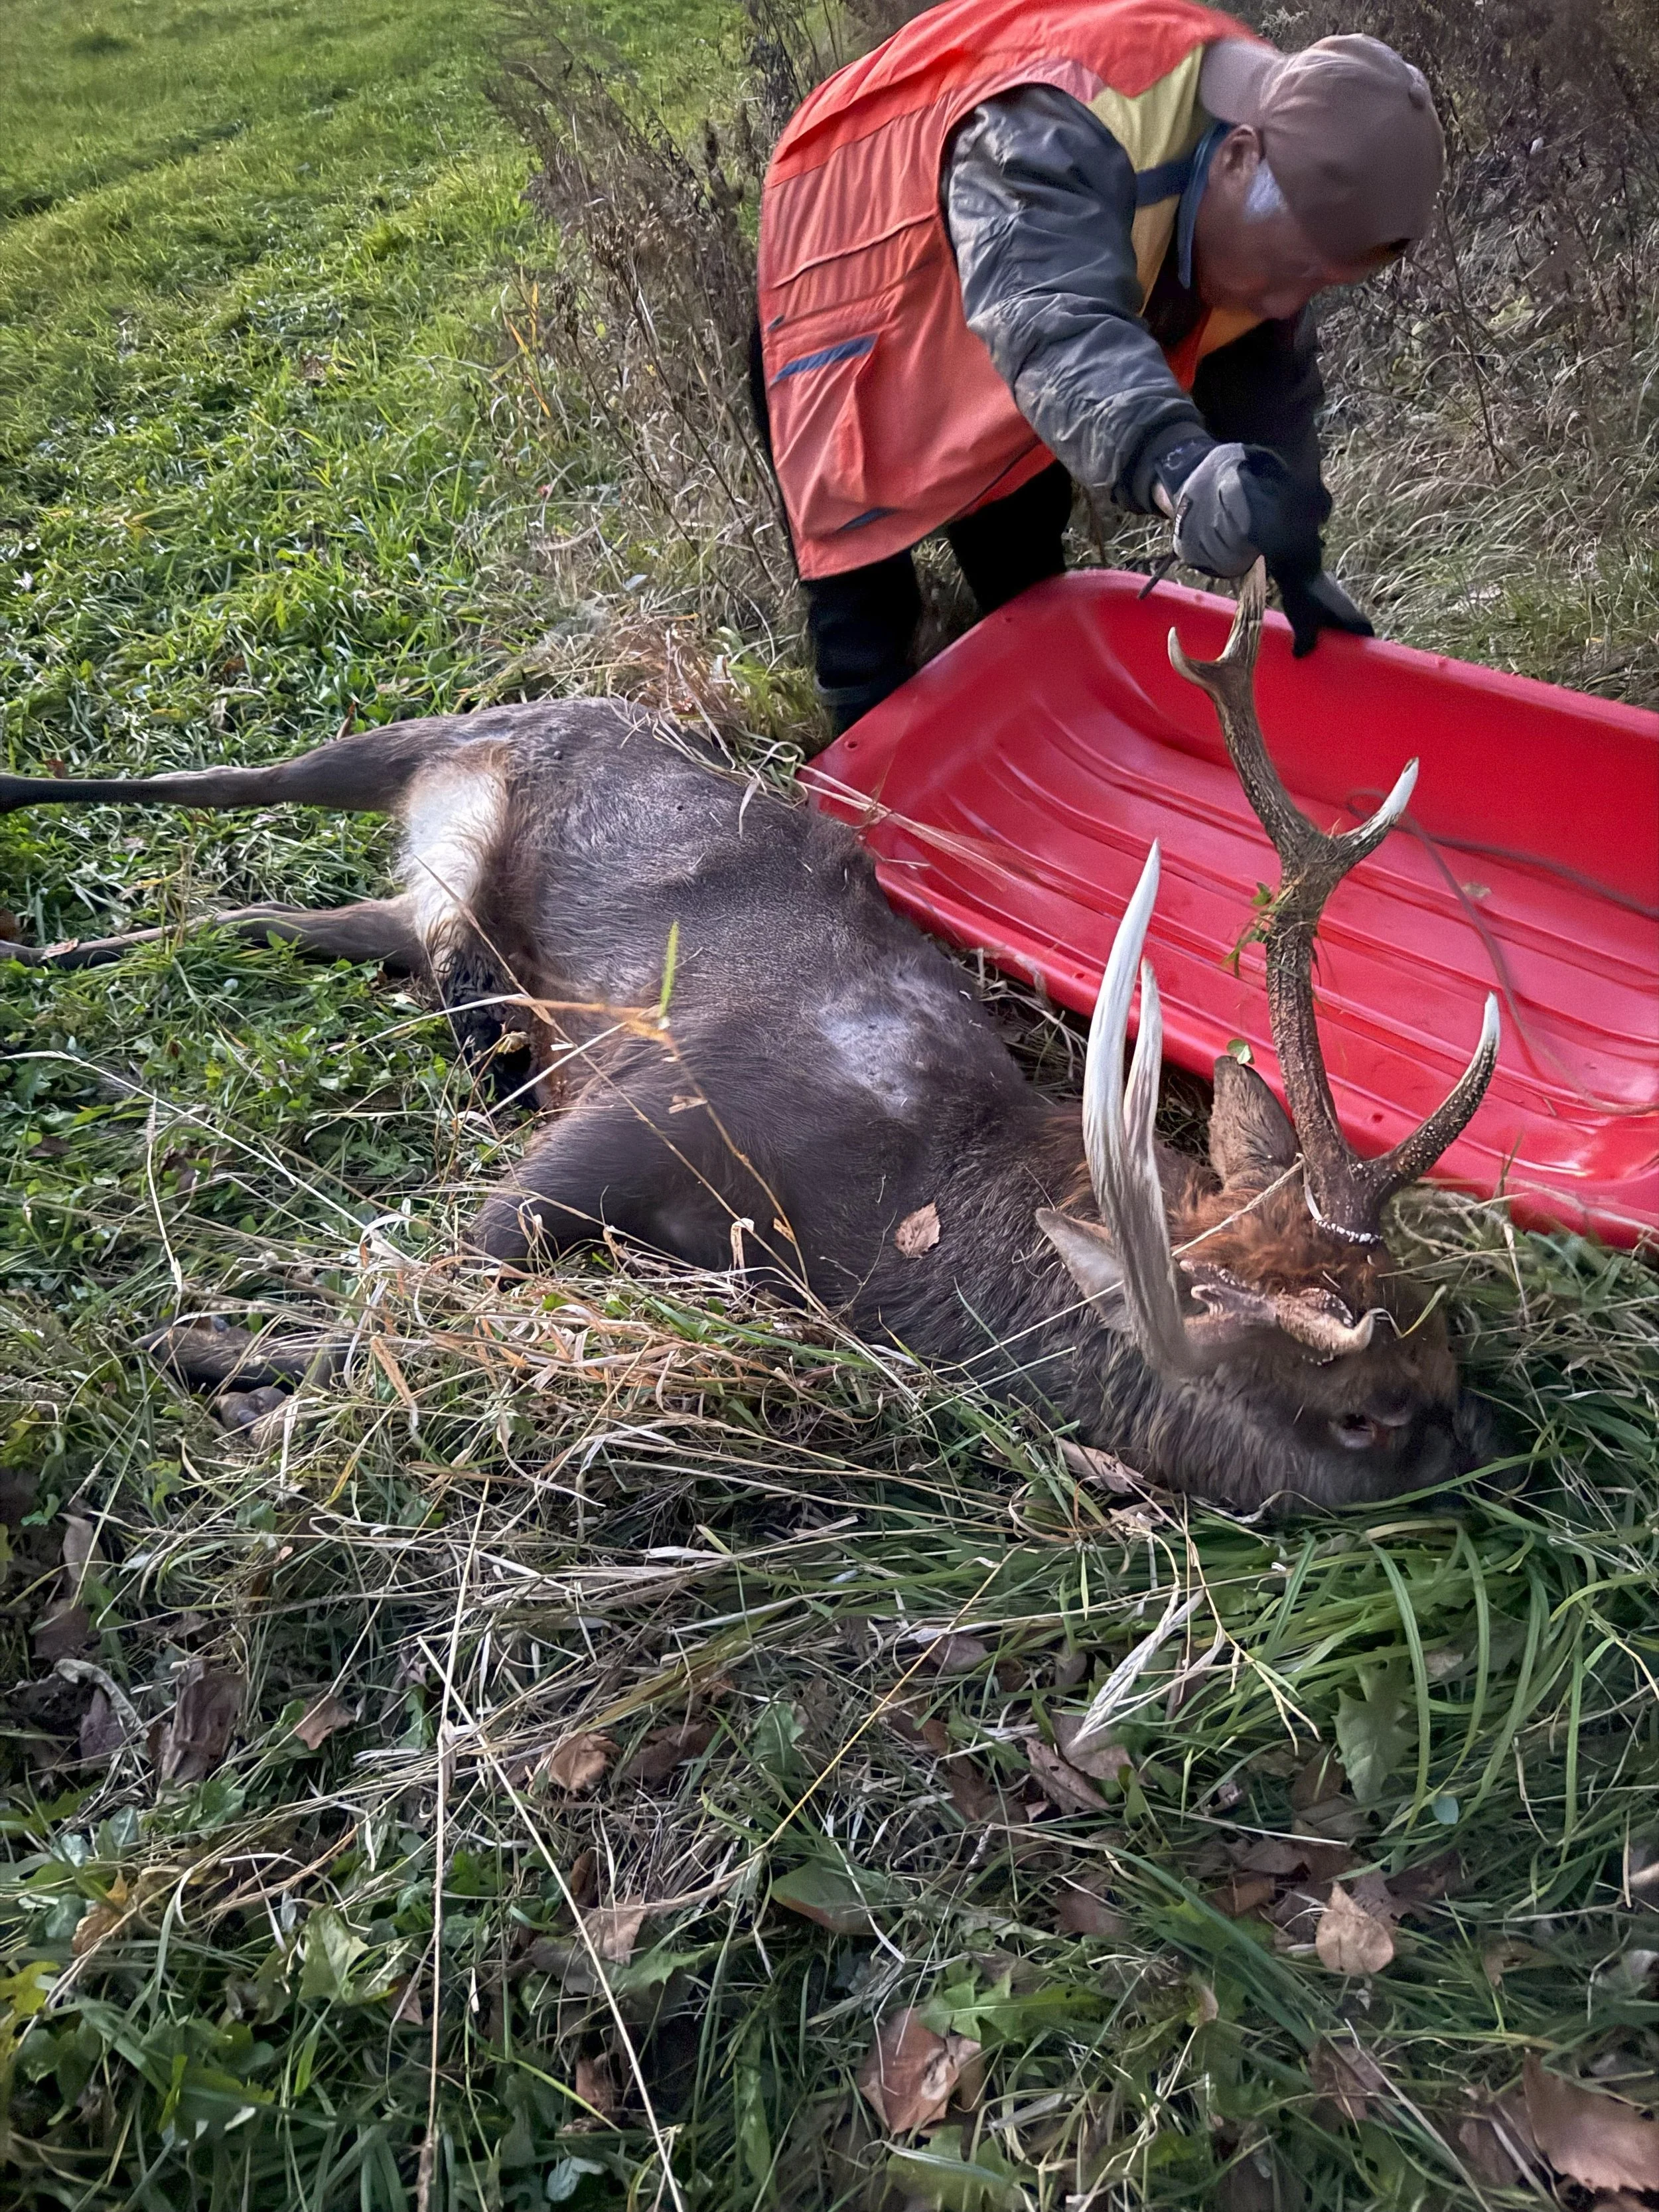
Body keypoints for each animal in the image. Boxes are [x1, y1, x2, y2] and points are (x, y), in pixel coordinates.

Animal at [1, 566, 1500, 1511]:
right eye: (1360, 1414)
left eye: (1448, 1353)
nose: (1475, 1446)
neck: (898, 1220)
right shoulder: (655, 1094)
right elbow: (448, 1269)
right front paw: (208, 1357)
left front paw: (223, 1366)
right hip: (425, 736)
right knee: (228, 775)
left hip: (403, 906)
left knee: (265, 912)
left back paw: (52, 952)